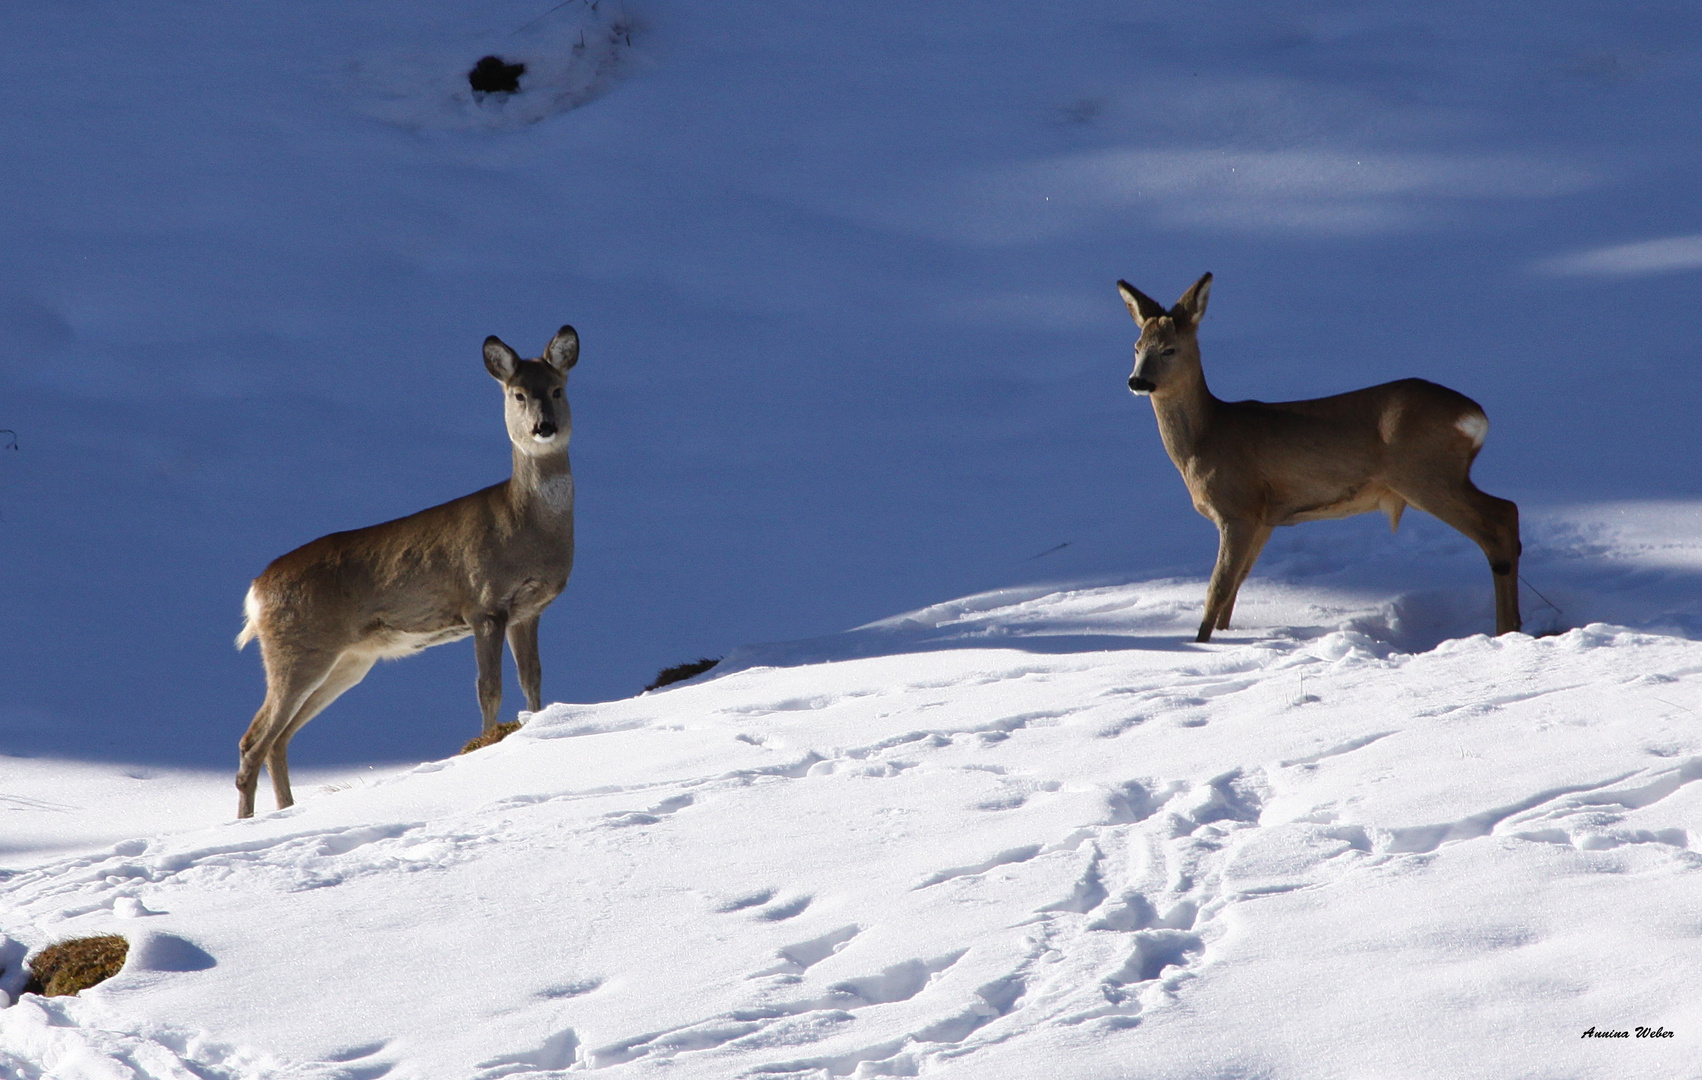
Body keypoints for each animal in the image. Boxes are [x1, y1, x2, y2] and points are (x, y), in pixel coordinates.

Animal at [233, 324, 582, 816]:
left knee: (278, 740)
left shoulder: (528, 610)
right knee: (253, 740)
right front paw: (484, 744)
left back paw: (286, 810)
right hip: (296, 649)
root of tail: (257, 592)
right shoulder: (484, 604)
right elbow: (488, 687)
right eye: (517, 394)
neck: (524, 525)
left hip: (347, 660)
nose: (543, 427)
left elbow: (531, 679)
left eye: (556, 389)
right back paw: (248, 822)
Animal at [1116, 277, 1531, 642]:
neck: (1206, 439)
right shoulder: (1265, 518)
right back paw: (1512, 627)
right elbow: (1235, 589)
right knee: (1507, 513)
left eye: (1169, 349)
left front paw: (1200, 646)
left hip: (1425, 474)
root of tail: (1475, 416)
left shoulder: (1238, 508)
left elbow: (1216, 590)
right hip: (1438, 476)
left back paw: (1506, 630)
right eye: (1136, 347)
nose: (1137, 381)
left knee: (1498, 521)